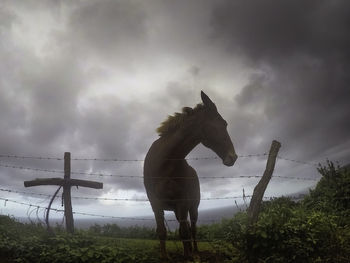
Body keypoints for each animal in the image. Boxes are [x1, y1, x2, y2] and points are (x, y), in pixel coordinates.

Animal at [143, 91, 238, 260]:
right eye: (224, 123)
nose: (233, 157)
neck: (164, 164)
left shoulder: (182, 202)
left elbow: (185, 232)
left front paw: (188, 257)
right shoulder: (155, 203)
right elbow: (162, 232)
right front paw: (165, 257)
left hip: (193, 207)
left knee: (192, 229)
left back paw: (195, 251)